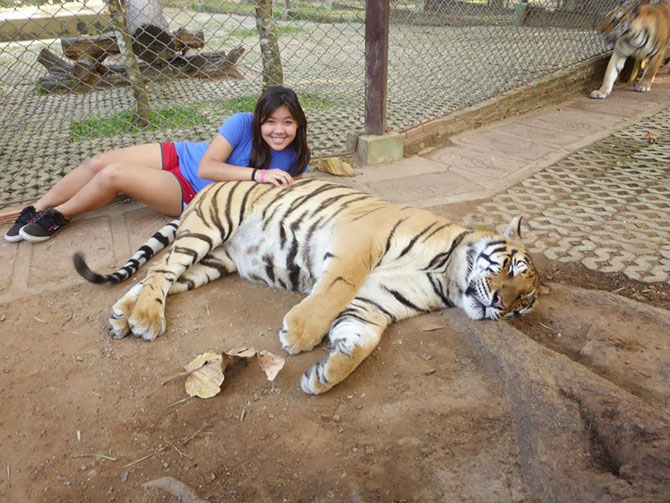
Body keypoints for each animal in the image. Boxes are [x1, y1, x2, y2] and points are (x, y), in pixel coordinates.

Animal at [75, 179, 540, 396]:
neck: (446, 275)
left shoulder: (378, 303)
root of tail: (204, 188)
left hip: (211, 262)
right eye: (509, 267)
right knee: (159, 271)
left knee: (160, 276)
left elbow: (360, 340)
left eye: (523, 303)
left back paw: (124, 317)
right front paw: (300, 333)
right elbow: (335, 287)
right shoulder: (361, 241)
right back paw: (146, 320)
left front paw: (325, 374)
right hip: (208, 229)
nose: (500, 304)